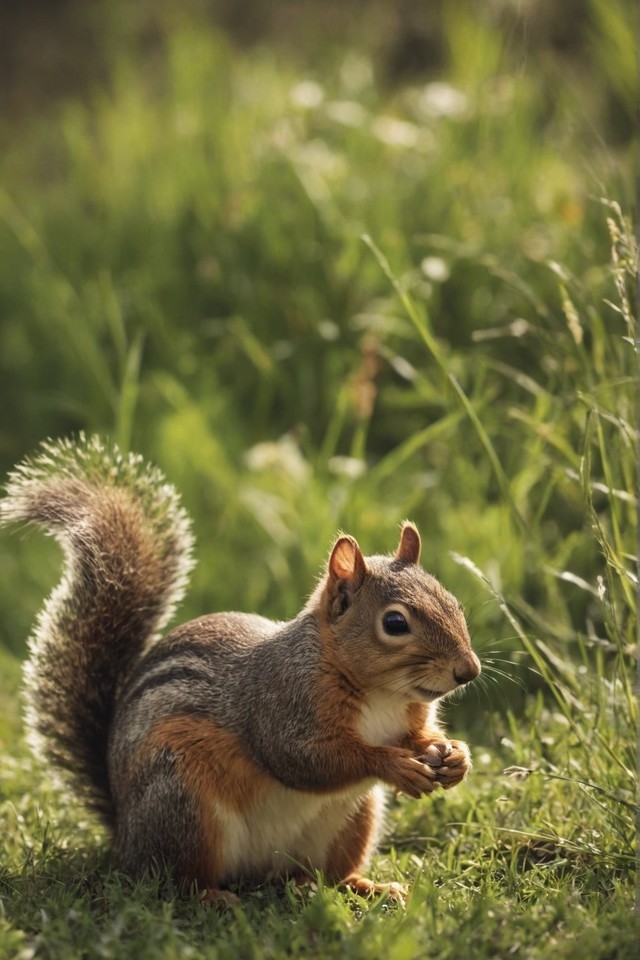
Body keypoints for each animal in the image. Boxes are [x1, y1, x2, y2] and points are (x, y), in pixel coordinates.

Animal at [0, 438, 480, 904]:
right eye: (395, 623)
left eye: (454, 603)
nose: (469, 671)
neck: (382, 692)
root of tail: (124, 834)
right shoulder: (281, 703)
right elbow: (307, 759)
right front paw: (393, 763)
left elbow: (416, 738)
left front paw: (454, 755)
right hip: (182, 802)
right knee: (173, 879)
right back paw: (211, 898)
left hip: (353, 820)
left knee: (326, 875)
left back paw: (366, 886)